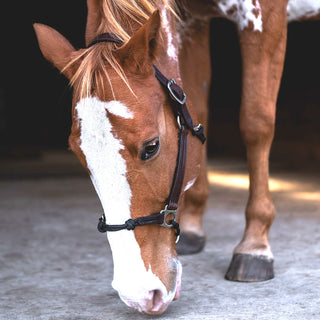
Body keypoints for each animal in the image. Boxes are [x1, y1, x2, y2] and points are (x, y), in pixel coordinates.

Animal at [33, 0, 320, 316]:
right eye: (78, 153)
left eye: (151, 146)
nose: (139, 295)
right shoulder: (191, 22)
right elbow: (196, 108)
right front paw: (193, 225)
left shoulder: (263, 19)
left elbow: (256, 123)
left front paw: (255, 244)